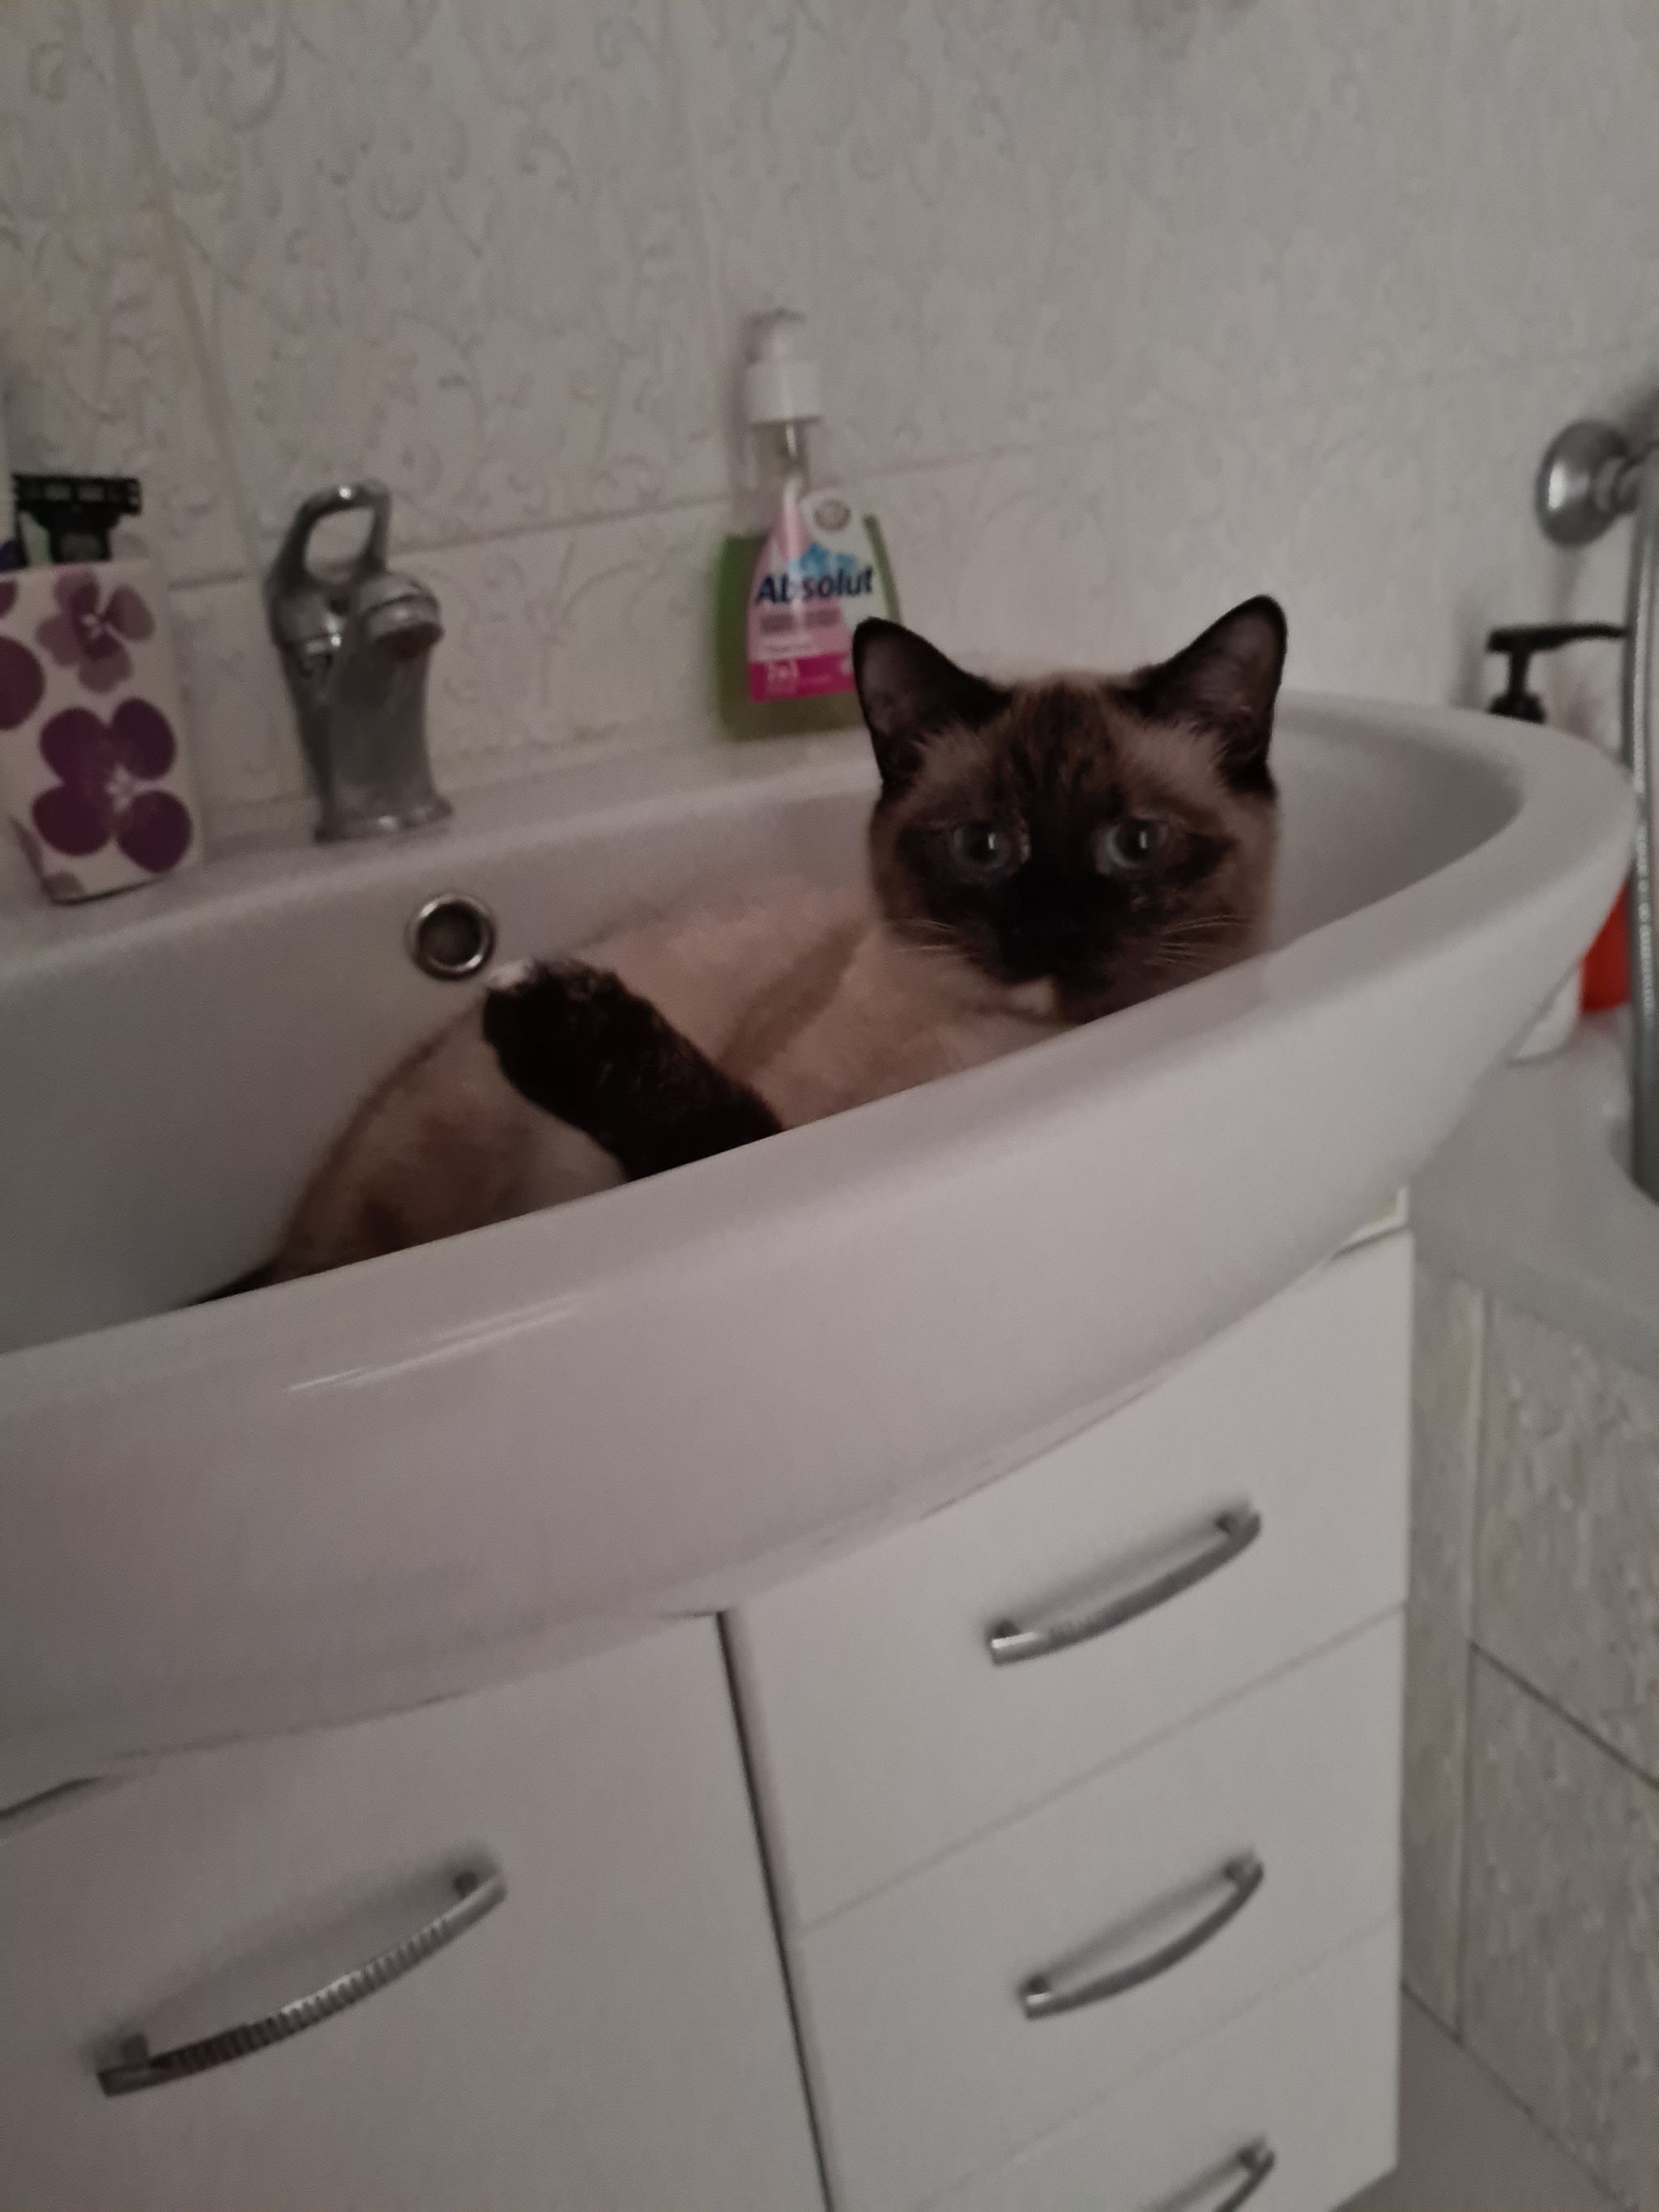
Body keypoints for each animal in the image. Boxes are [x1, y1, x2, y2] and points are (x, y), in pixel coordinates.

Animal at [259, 596, 1285, 1284]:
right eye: (983, 847)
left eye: (1132, 844)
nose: (1049, 929)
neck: (993, 1042)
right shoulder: (775, 1111)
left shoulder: (755, 1130)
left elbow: (701, 1115)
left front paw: (559, 1023)